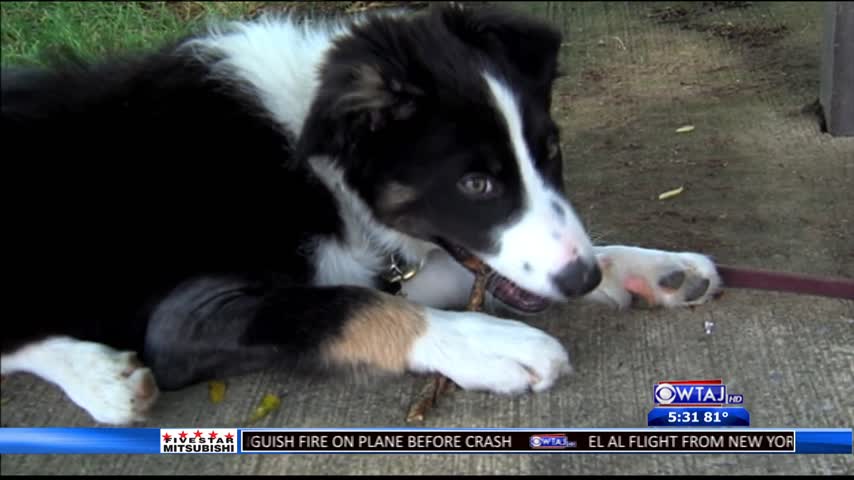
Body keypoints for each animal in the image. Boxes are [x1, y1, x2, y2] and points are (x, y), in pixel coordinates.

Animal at [1, 4, 724, 424]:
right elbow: (348, 304)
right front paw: (493, 345)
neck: (317, 165)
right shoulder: (185, 319)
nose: (580, 282)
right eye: (476, 183)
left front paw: (647, 269)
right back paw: (100, 376)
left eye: (550, 150)